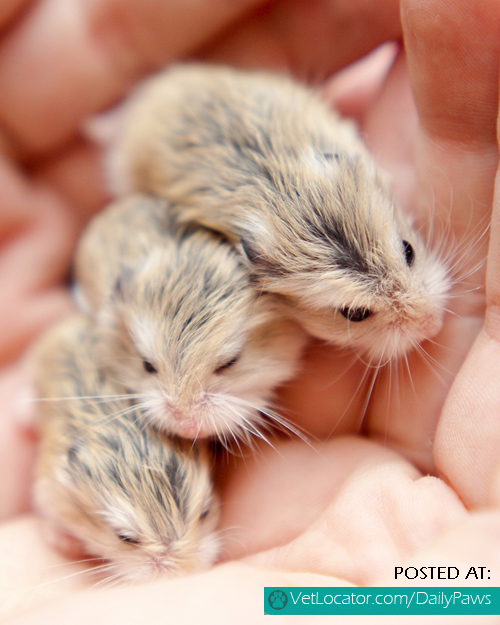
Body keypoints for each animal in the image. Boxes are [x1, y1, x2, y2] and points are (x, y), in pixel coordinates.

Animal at [31, 314, 219, 584]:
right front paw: (67, 543)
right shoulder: (47, 488)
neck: (128, 443)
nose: (183, 570)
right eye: (124, 537)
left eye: (206, 512)